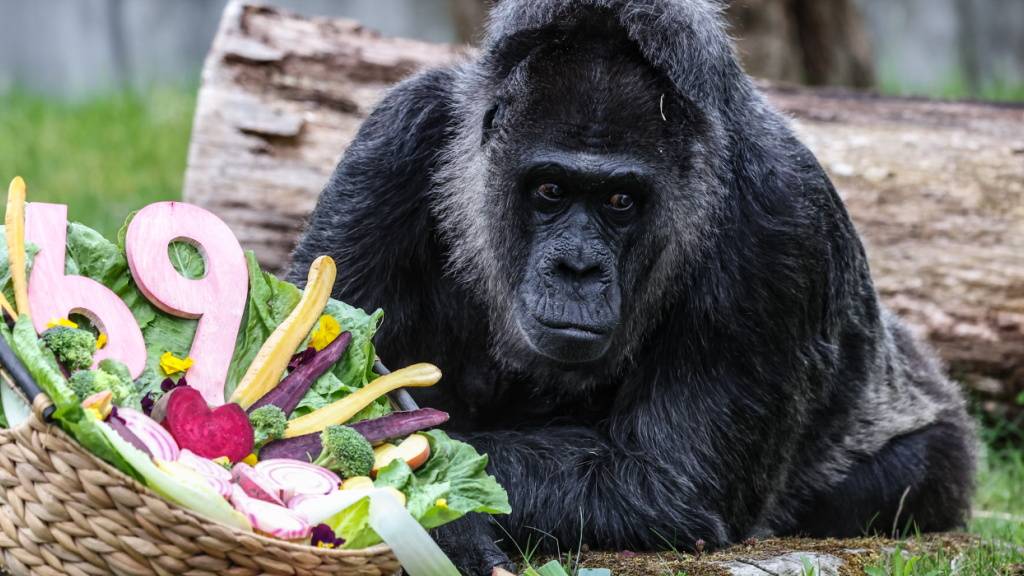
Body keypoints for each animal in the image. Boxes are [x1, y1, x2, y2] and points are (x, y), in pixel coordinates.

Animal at [289, 1, 976, 574]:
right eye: (550, 190)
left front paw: (436, 516)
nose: (577, 269)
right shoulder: (395, 138)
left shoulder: (783, 216)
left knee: (911, 471)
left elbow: (665, 484)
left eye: (621, 201)